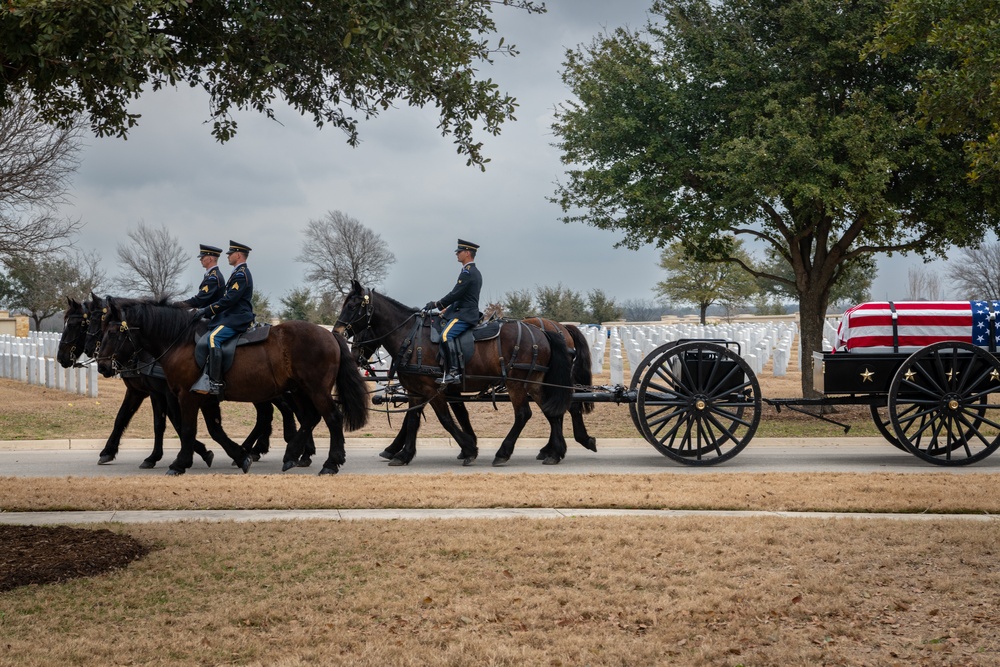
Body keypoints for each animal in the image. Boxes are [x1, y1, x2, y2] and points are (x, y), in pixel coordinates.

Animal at [96, 298, 368, 474]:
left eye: (113, 332)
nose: (102, 366)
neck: (180, 340)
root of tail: (329, 333)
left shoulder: (185, 396)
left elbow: (187, 429)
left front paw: (180, 463)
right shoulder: (203, 397)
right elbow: (214, 430)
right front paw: (239, 456)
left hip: (315, 390)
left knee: (331, 418)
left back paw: (330, 463)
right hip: (300, 391)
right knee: (309, 418)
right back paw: (291, 455)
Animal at [334, 280, 576, 468]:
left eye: (353, 305)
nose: (337, 332)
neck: (411, 337)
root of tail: (542, 331)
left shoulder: (434, 389)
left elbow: (446, 420)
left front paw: (469, 449)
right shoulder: (417, 390)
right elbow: (414, 420)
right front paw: (403, 454)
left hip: (516, 384)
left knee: (524, 414)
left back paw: (503, 453)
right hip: (533, 382)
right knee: (552, 411)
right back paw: (555, 452)